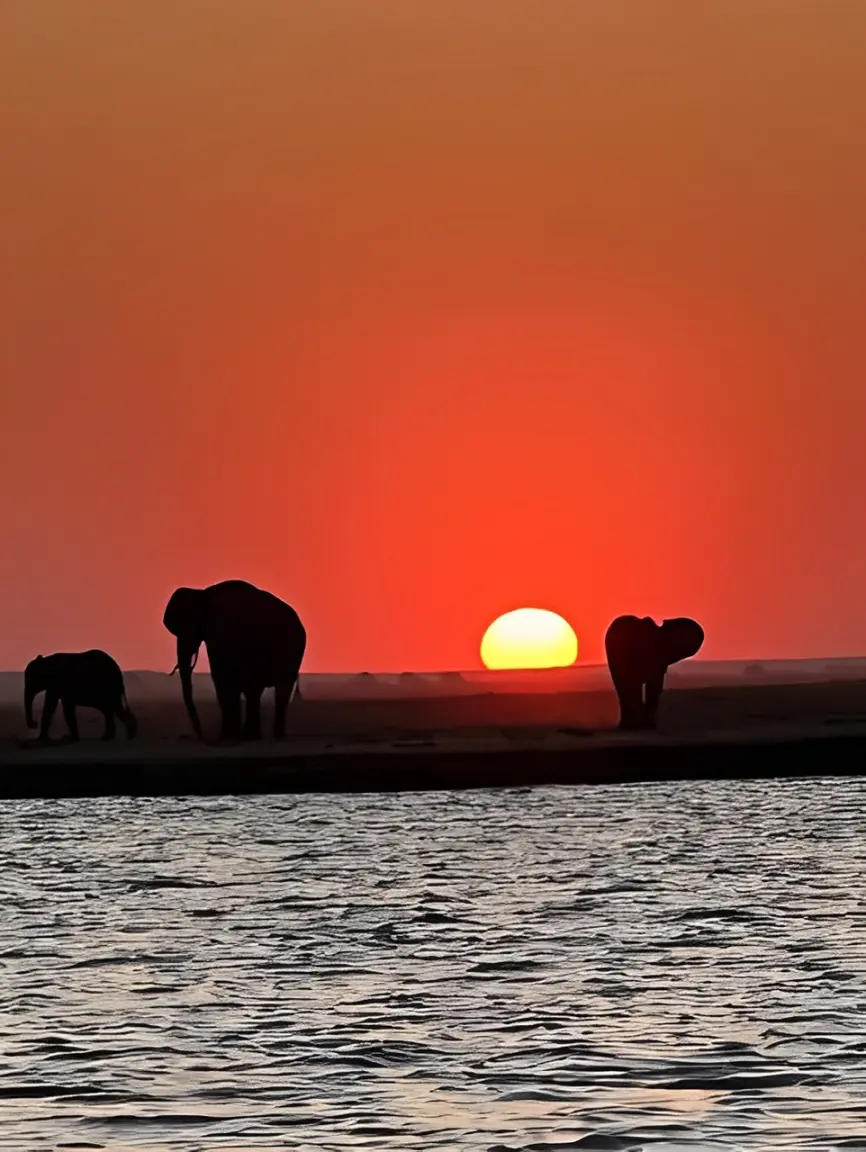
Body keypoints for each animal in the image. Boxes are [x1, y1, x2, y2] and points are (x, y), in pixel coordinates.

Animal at [163, 580, 308, 741]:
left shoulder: (220, 632)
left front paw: (226, 738)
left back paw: (258, 737)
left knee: (268, 689)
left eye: (189, 628)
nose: (202, 737)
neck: (201, 593)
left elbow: (222, 678)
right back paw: (263, 736)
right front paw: (231, 736)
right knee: (266, 690)